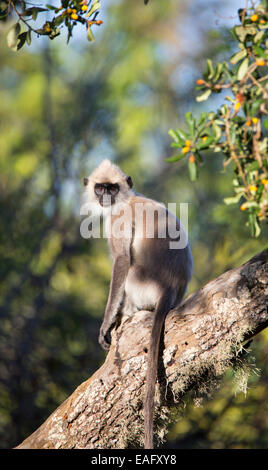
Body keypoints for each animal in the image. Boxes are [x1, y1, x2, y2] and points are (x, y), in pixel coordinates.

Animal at [82, 160, 192, 450]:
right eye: (100, 188)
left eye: (111, 188)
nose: (105, 197)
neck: (126, 199)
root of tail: (169, 290)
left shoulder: (117, 218)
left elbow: (121, 260)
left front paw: (105, 325)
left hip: (140, 282)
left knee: (129, 267)